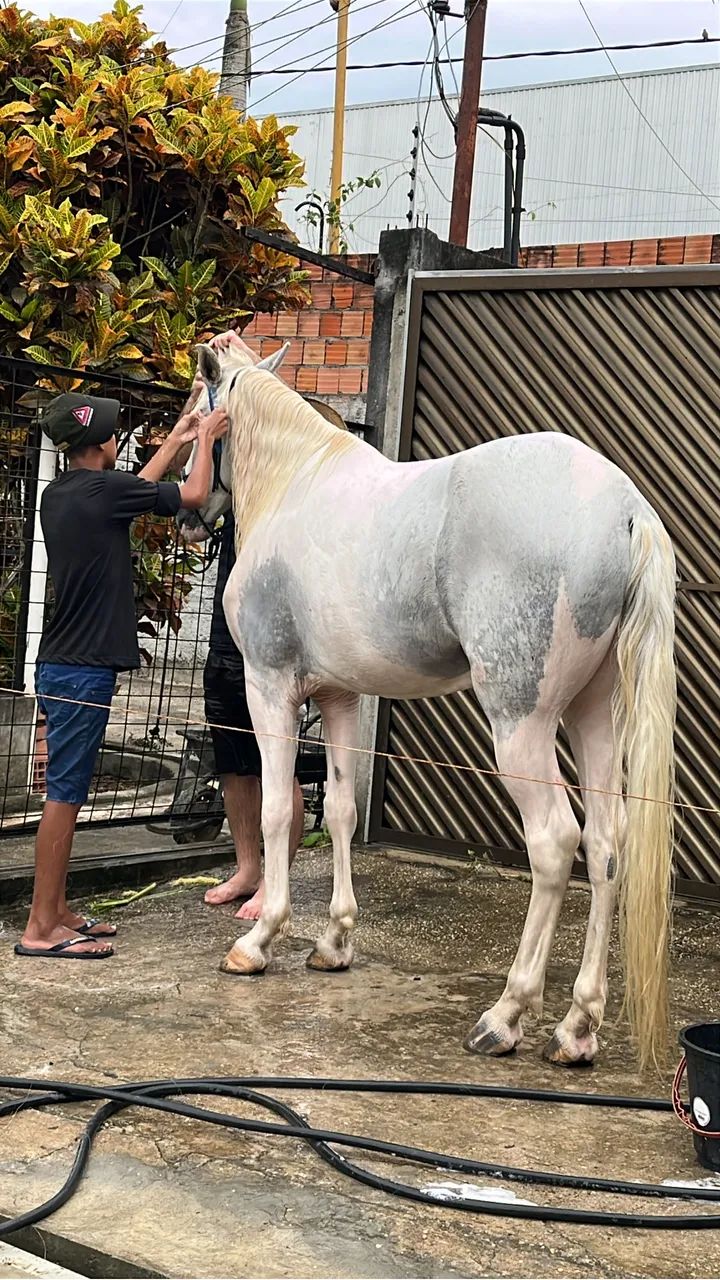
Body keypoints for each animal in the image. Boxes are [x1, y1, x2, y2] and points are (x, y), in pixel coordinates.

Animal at [178, 339, 677, 1072]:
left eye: (194, 410)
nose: (187, 511)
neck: (296, 485)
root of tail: (626, 508)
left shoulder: (269, 688)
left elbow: (275, 812)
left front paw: (257, 942)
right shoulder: (340, 698)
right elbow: (340, 808)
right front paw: (334, 944)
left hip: (521, 725)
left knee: (555, 841)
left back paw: (505, 1017)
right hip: (592, 716)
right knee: (606, 846)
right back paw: (576, 1029)